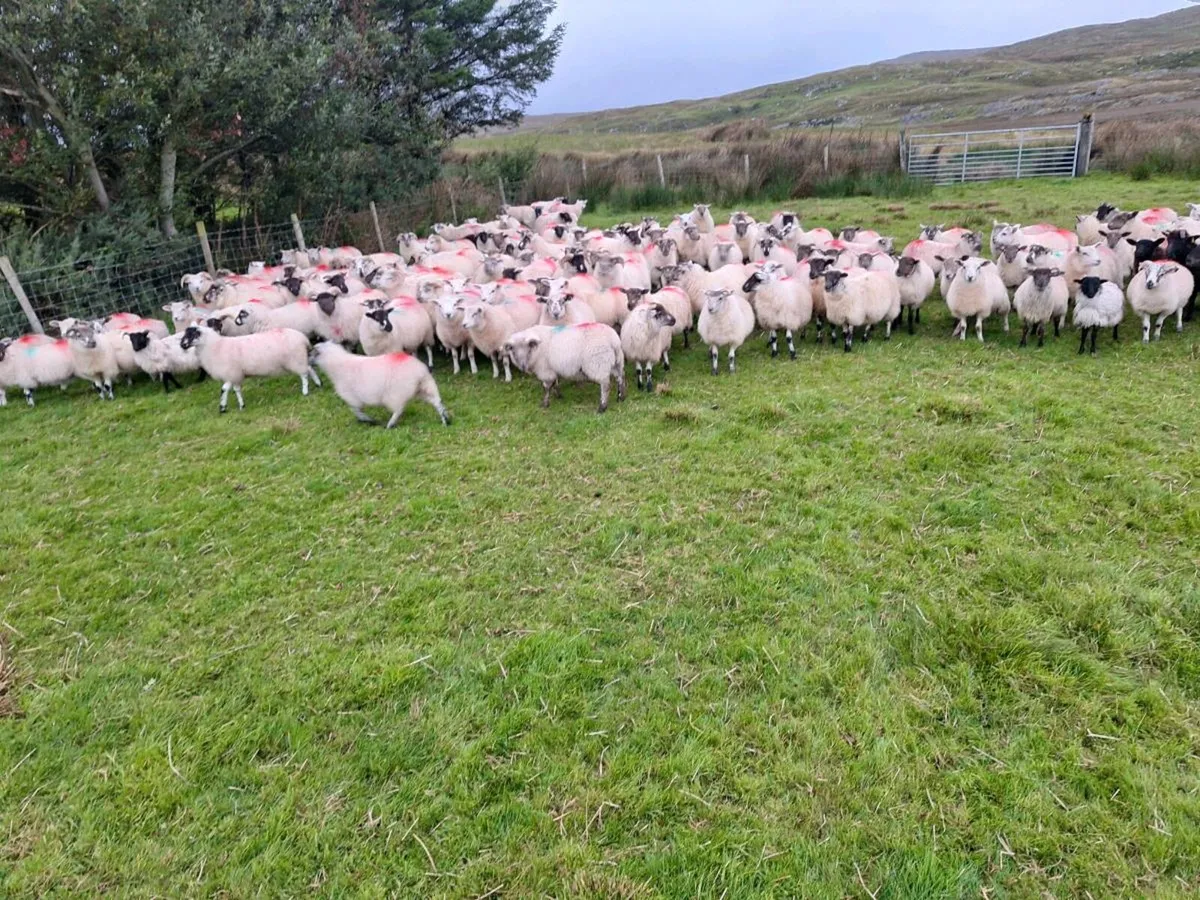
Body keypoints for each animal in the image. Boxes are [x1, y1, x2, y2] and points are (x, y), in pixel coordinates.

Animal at [179, 324, 319, 412]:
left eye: (192, 334)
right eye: (185, 334)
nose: (182, 345)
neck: (214, 346)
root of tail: (303, 338)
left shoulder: (231, 373)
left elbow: (224, 389)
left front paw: (223, 407)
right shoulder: (234, 375)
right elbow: (235, 390)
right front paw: (240, 405)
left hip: (296, 359)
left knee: (304, 374)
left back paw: (305, 391)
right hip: (299, 358)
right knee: (309, 368)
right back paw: (318, 384)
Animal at [310, 343, 448, 428]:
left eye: (311, 353)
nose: (308, 362)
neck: (336, 364)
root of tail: (420, 371)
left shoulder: (351, 397)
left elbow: (356, 410)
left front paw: (366, 419)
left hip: (396, 394)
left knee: (398, 410)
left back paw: (390, 424)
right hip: (425, 387)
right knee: (437, 402)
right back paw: (445, 419)